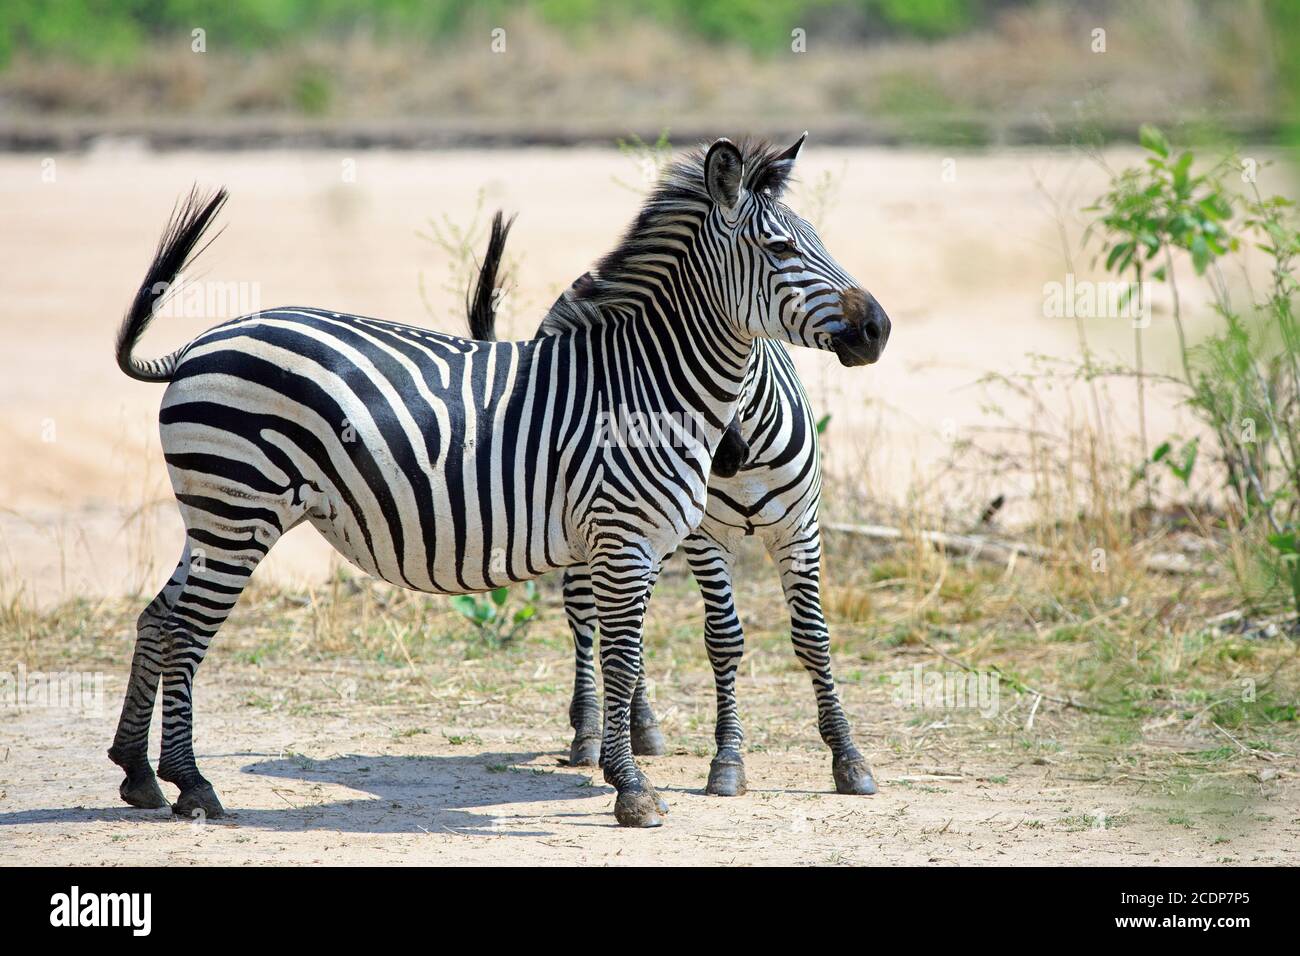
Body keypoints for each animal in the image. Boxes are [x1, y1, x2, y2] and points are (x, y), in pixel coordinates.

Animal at [467, 223, 883, 801]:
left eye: (745, 372)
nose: (725, 458)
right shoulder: (705, 539)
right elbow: (723, 640)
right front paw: (728, 762)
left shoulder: (799, 529)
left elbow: (813, 637)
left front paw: (848, 757)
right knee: (585, 609)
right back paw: (589, 730)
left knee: (628, 617)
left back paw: (639, 726)